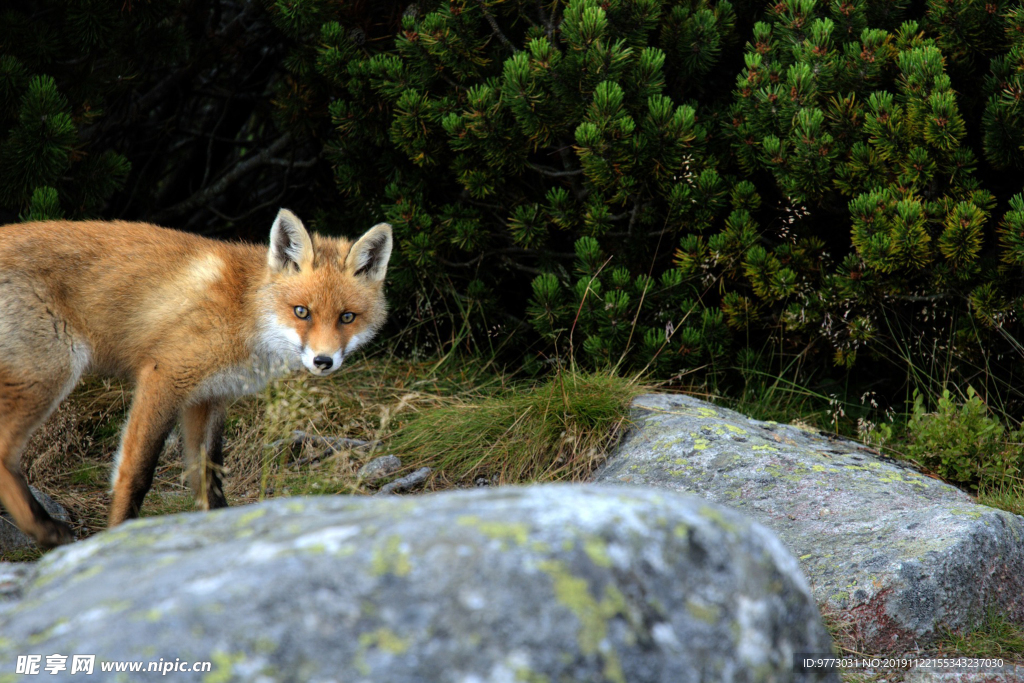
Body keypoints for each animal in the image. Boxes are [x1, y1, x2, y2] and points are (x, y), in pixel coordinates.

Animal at [0, 209, 391, 548]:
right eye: (301, 312)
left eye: (347, 317)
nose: (323, 361)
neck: (244, 310)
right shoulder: (164, 376)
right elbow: (136, 474)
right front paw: (119, 534)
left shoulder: (208, 398)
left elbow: (210, 481)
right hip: (50, 372)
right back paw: (43, 528)